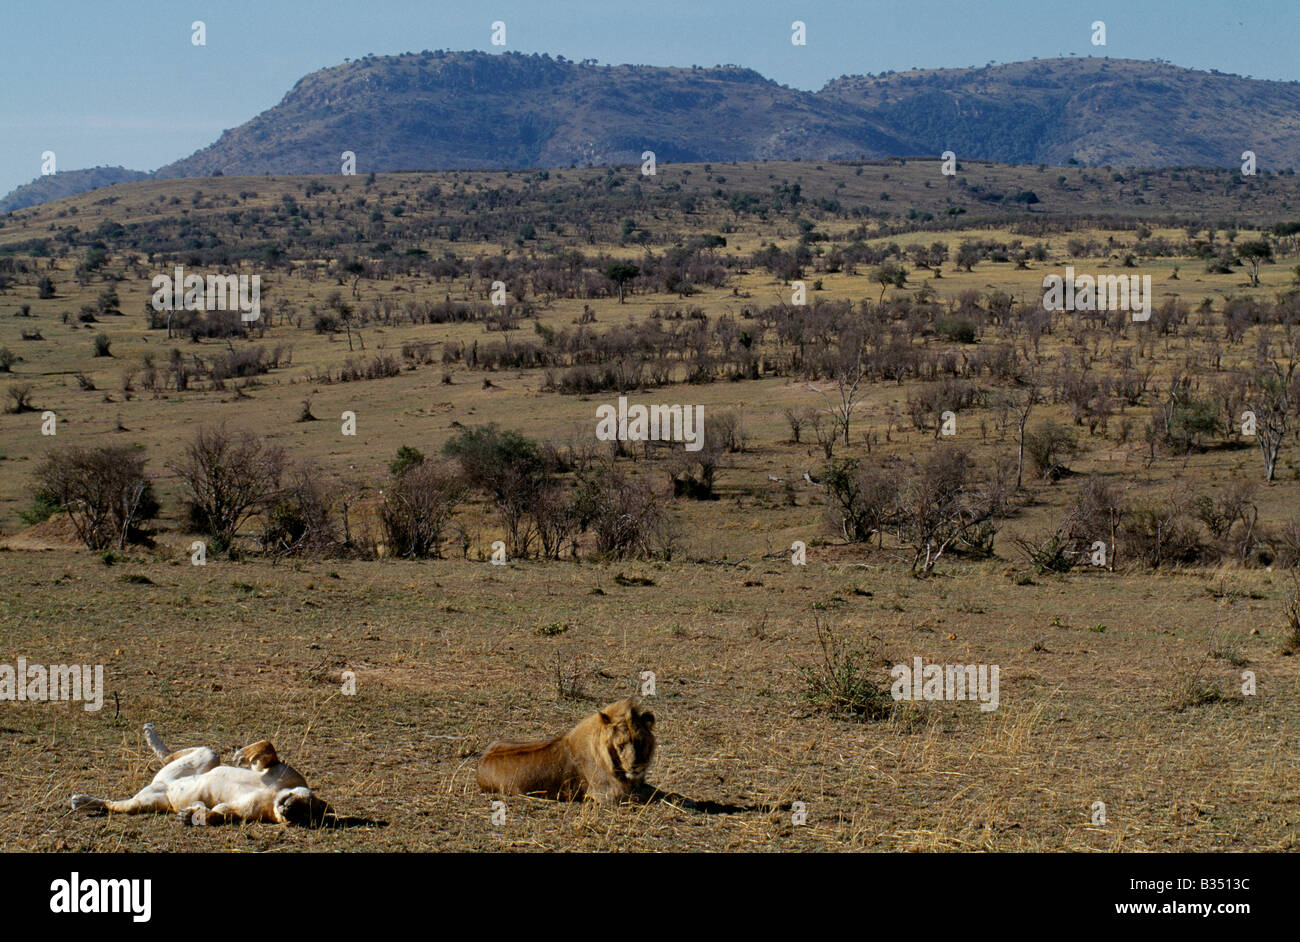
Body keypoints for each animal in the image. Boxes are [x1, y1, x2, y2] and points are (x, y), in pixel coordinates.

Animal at [476, 697, 656, 802]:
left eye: (640, 742)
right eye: (621, 745)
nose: (636, 766)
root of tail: (482, 759)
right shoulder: (606, 794)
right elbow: (647, 794)